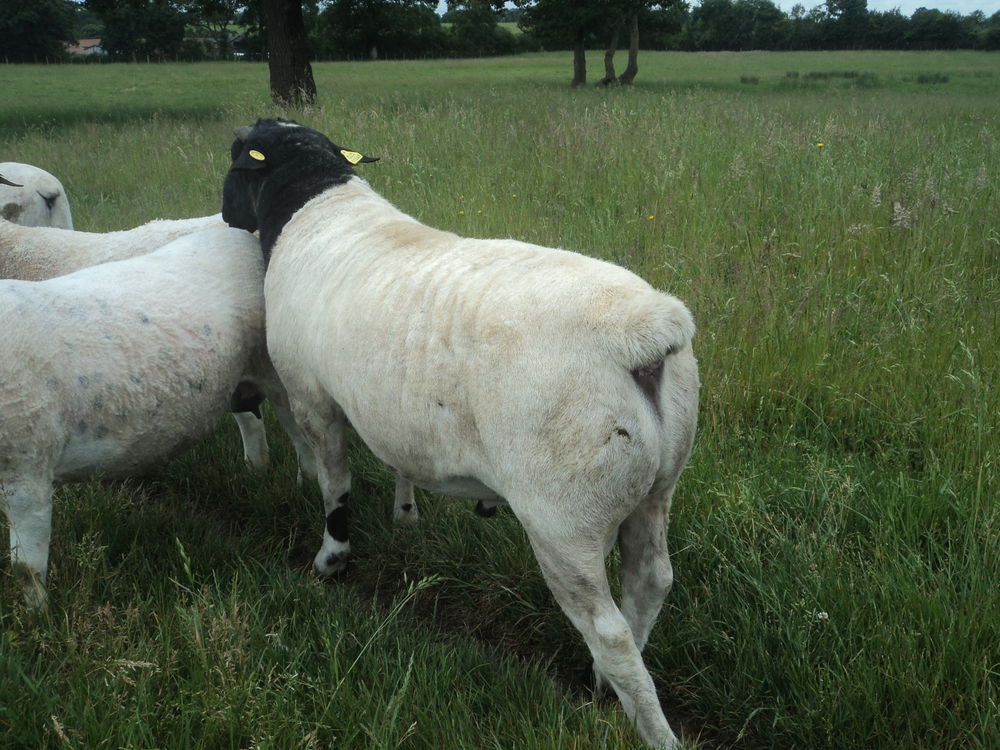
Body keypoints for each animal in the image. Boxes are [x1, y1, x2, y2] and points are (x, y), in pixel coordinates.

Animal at [0, 226, 308, 607]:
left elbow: (26, 570)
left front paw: (39, 617)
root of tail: (243, 236)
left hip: (277, 372)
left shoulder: (26, 462)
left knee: (306, 441)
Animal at [222, 118, 699, 749]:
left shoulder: (311, 397)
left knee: (610, 630)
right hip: (655, 486)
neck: (316, 202)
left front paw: (331, 560)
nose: (225, 216)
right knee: (650, 583)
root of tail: (645, 333)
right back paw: (608, 686)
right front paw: (405, 515)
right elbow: (396, 462)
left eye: (237, 156)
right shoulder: (389, 411)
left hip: (562, 516)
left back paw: (644, 723)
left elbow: (335, 485)